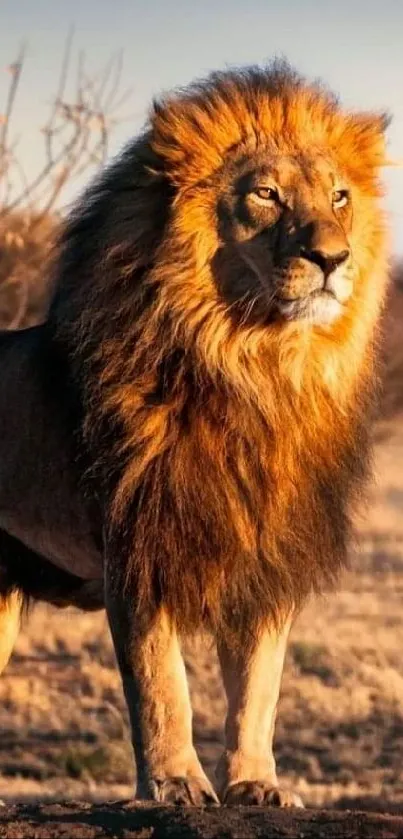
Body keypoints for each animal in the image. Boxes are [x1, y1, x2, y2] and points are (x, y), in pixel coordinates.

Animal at [0, 60, 392, 808]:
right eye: (265, 194)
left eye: (338, 197)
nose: (333, 258)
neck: (256, 367)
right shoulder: (138, 546)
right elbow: (162, 685)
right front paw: (175, 781)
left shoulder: (269, 558)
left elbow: (259, 689)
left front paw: (257, 783)